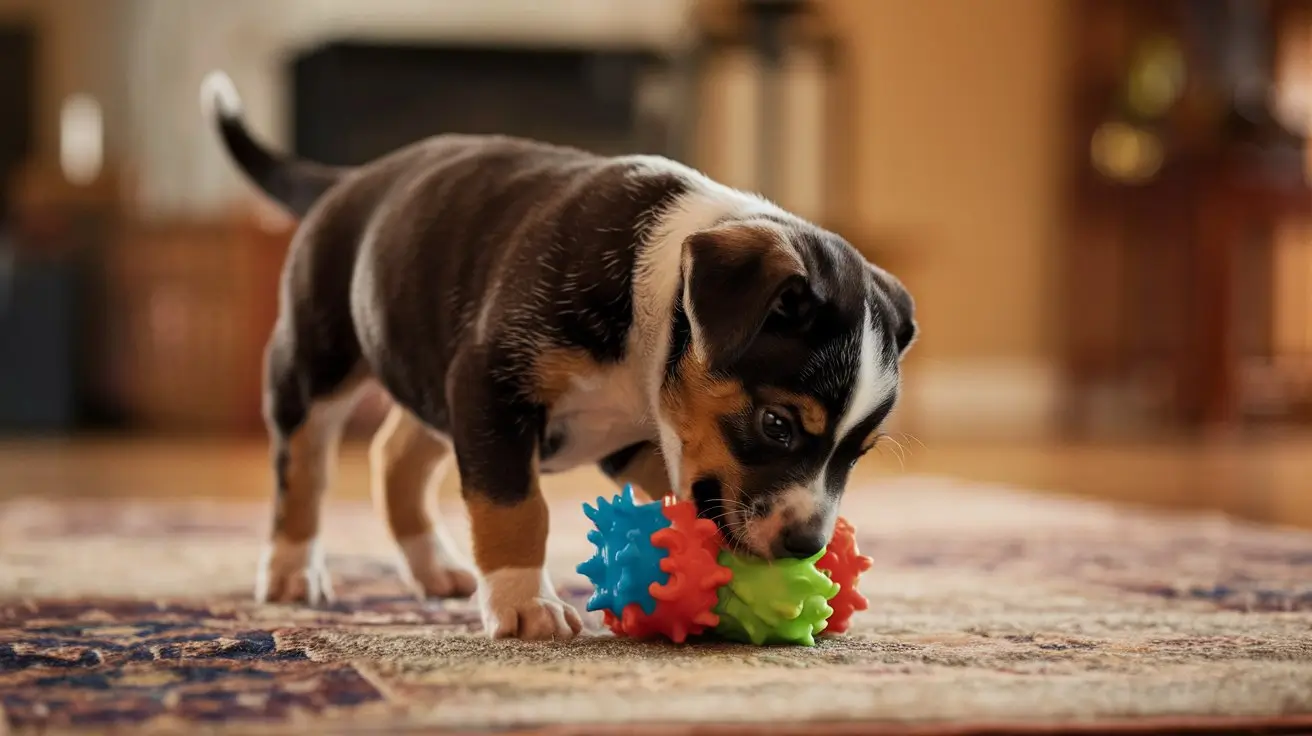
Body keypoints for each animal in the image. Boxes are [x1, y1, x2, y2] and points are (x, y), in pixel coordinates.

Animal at [202, 71, 913, 640]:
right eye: (777, 424)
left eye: (858, 455)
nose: (807, 544)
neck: (650, 302)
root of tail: (347, 180)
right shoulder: (492, 387)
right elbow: (515, 509)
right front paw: (524, 605)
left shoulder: (620, 438)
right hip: (313, 362)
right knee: (303, 469)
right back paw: (291, 570)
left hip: (431, 375)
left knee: (394, 455)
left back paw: (435, 567)